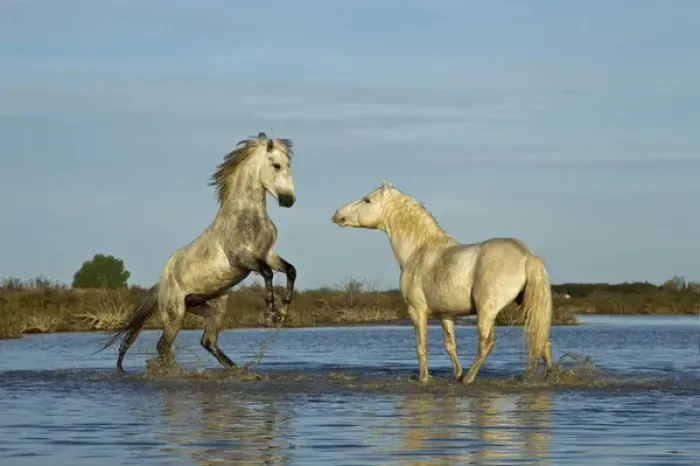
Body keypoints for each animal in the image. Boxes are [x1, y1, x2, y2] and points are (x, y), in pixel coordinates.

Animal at [99, 132, 298, 374]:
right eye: (276, 165)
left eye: (289, 165)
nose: (289, 200)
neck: (247, 216)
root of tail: (161, 285)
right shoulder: (242, 258)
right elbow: (268, 273)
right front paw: (270, 314)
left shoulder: (267, 253)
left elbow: (290, 270)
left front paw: (284, 312)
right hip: (175, 314)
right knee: (164, 345)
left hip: (214, 308)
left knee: (208, 341)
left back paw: (237, 371)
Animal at [331, 181, 553, 384]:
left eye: (367, 200)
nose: (337, 215)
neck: (418, 251)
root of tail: (527, 255)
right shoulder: (446, 314)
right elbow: (450, 345)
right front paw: (457, 374)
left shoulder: (417, 310)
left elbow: (421, 346)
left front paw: (424, 378)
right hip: (525, 305)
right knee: (542, 339)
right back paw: (547, 374)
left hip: (486, 311)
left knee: (486, 343)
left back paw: (469, 379)